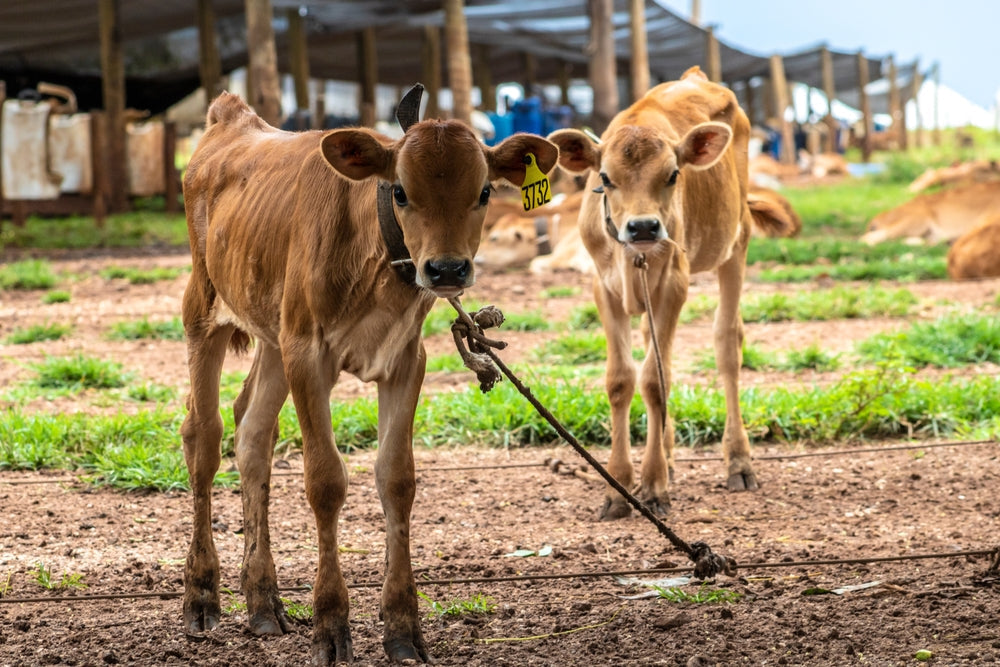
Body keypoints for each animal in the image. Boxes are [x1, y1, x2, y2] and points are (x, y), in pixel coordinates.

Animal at [179, 89, 557, 664]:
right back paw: (201, 594)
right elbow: (325, 481)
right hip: (205, 310)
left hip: (273, 337)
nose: (447, 270)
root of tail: (231, 118)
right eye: (399, 191)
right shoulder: (308, 354)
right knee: (204, 438)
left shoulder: (404, 360)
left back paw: (263, 600)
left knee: (252, 436)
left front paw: (403, 628)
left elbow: (397, 479)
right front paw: (331, 624)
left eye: (485, 190)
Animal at [546, 66, 758, 520]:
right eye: (605, 178)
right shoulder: (604, 287)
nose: (643, 227)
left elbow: (655, 381)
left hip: (737, 242)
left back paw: (738, 461)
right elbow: (622, 379)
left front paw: (654, 485)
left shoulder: (673, 284)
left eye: (673, 174)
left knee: (727, 343)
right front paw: (619, 486)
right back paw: (670, 454)